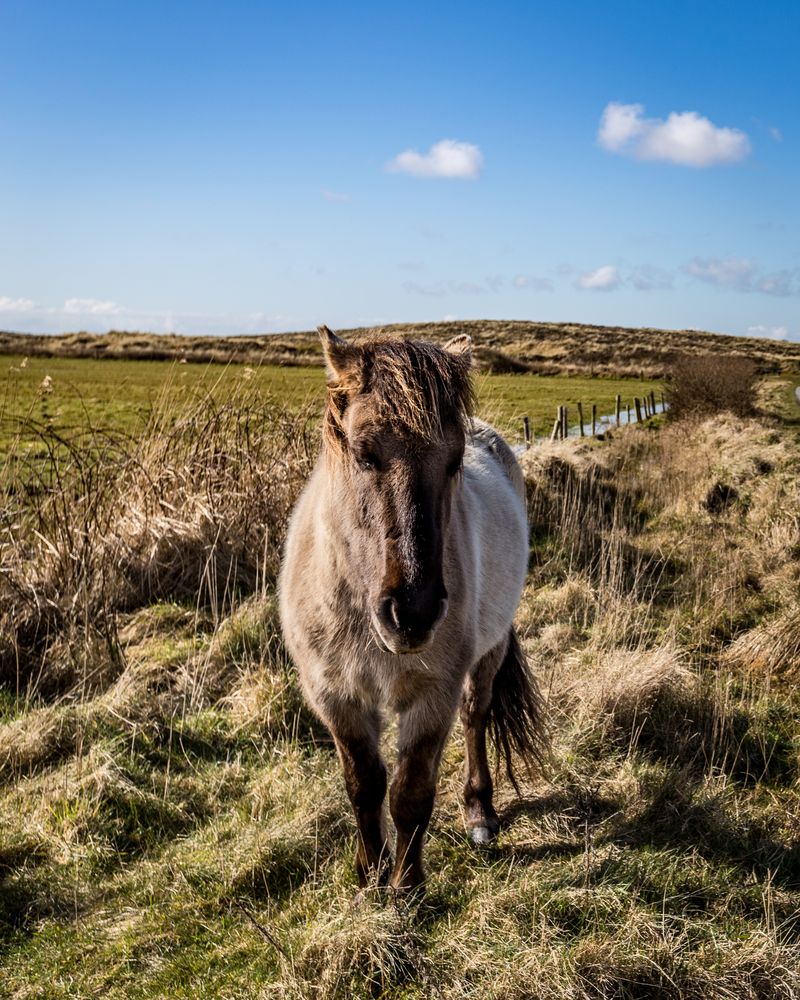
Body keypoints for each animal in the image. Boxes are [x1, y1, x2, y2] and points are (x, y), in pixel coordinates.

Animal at [278, 328, 548, 892]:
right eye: (364, 453)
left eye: (453, 461)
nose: (413, 613)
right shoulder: (335, 697)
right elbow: (364, 786)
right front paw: (370, 874)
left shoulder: (431, 697)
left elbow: (410, 795)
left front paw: (407, 886)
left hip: (488, 653)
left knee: (476, 715)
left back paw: (479, 812)